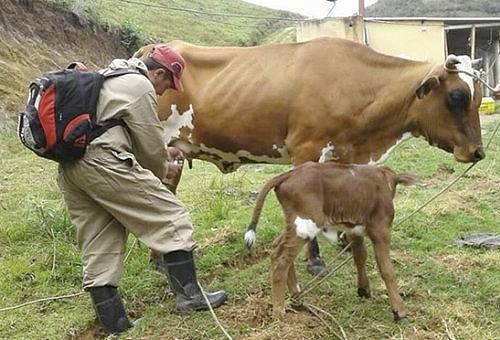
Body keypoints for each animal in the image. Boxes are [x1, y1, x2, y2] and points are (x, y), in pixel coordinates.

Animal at [135, 37, 486, 274]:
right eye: (457, 95)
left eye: (479, 95)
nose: (478, 152)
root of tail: (149, 48)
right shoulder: (305, 150)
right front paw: (315, 261)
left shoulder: (344, 154)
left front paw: (346, 241)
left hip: (172, 155)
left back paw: (160, 260)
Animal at [244, 162, 416, 322]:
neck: (385, 179)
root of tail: (289, 174)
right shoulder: (381, 229)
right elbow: (386, 269)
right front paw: (399, 311)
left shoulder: (354, 229)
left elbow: (360, 257)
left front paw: (363, 289)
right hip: (305, 226)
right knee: (281, 258)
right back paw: (279, 313)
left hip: (294, 225)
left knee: (277, 247)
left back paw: (296, 296)